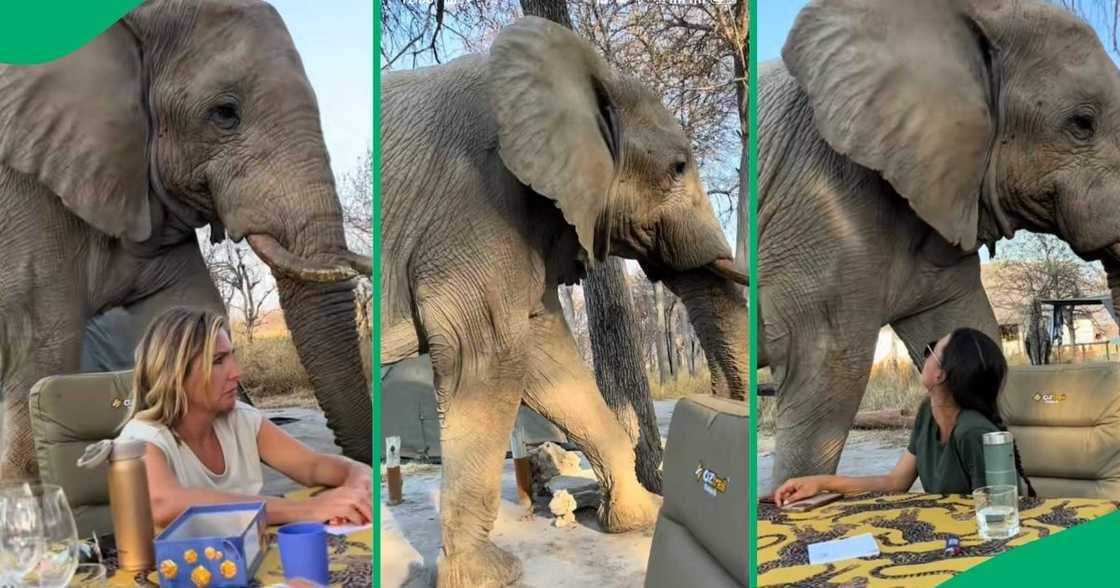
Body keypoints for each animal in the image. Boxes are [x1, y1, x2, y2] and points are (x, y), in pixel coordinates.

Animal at [381, 16, 748, 588]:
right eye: (679, 166)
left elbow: (548, 360)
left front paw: (638, 518)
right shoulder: (475, 205)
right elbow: (488, 359)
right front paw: (489, 575)